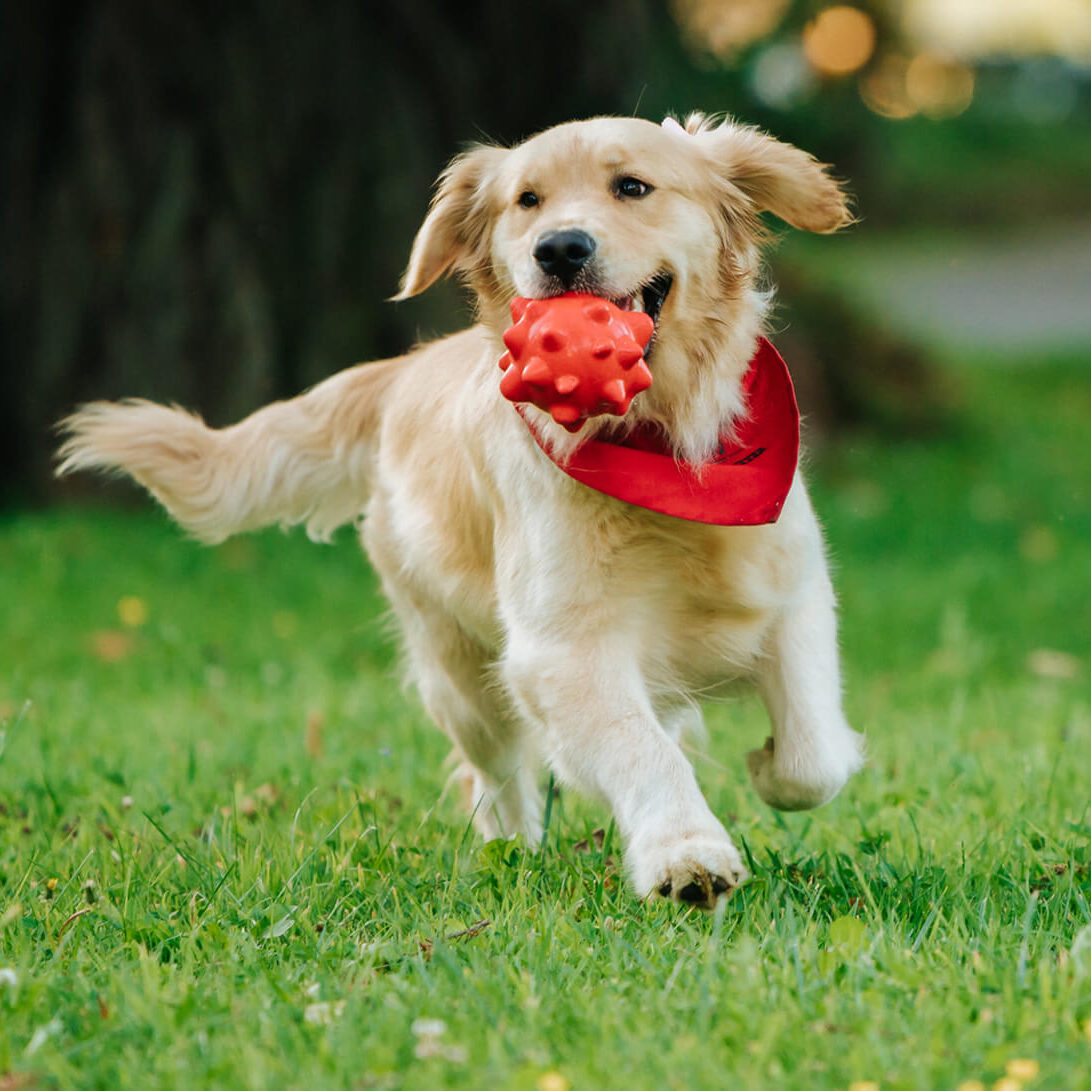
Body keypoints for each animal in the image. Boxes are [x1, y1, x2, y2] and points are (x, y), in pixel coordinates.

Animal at [59, 115, 864, 907]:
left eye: (632, 186)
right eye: (527, 201)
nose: (559, 249)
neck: (660, 440)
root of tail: (405, 369)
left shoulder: (794, 595)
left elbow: (812, 755)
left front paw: (767, 766)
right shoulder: (560, 648)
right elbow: (640, 748)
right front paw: (685, 854)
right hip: (457, 670)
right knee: (499, 776)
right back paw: (517, 848)